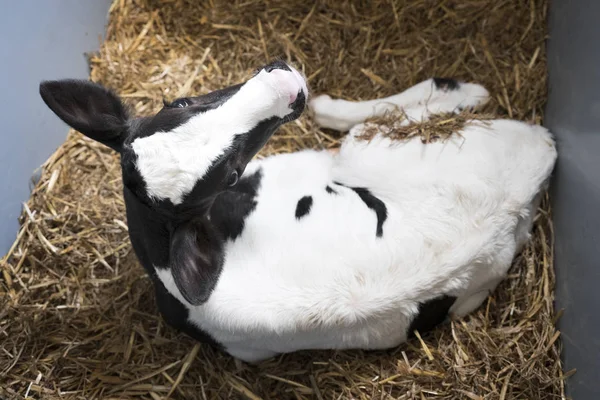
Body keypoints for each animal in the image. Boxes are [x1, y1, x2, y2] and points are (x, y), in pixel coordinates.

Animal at [39, 60, 556, 362]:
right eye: (229, 175)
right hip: (370, 148)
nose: (284, 86)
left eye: (181, 100)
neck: (160, 262)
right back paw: (464, 91)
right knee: (378, 116)